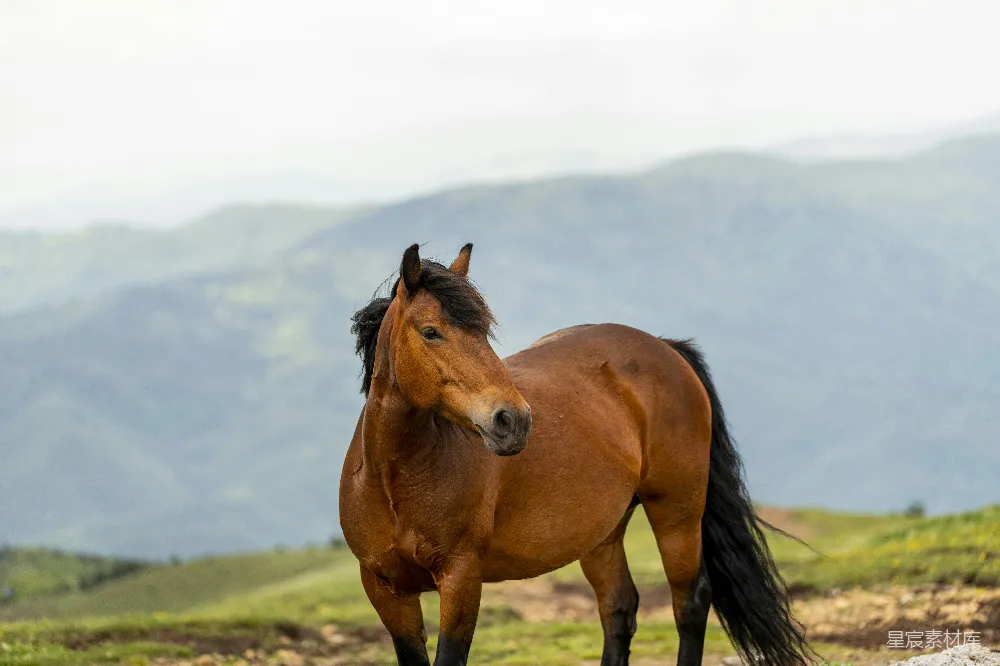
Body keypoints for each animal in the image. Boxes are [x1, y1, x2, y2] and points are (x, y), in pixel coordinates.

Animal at [340, 243, 814, 666]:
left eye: (484, 332)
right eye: (430, 332)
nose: (512, 420)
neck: (397, 483)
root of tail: (665, 348)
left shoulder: (461, 579)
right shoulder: (385, 589)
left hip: (677, 513)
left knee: (690, 604)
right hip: (604, 532)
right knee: (618, 609)